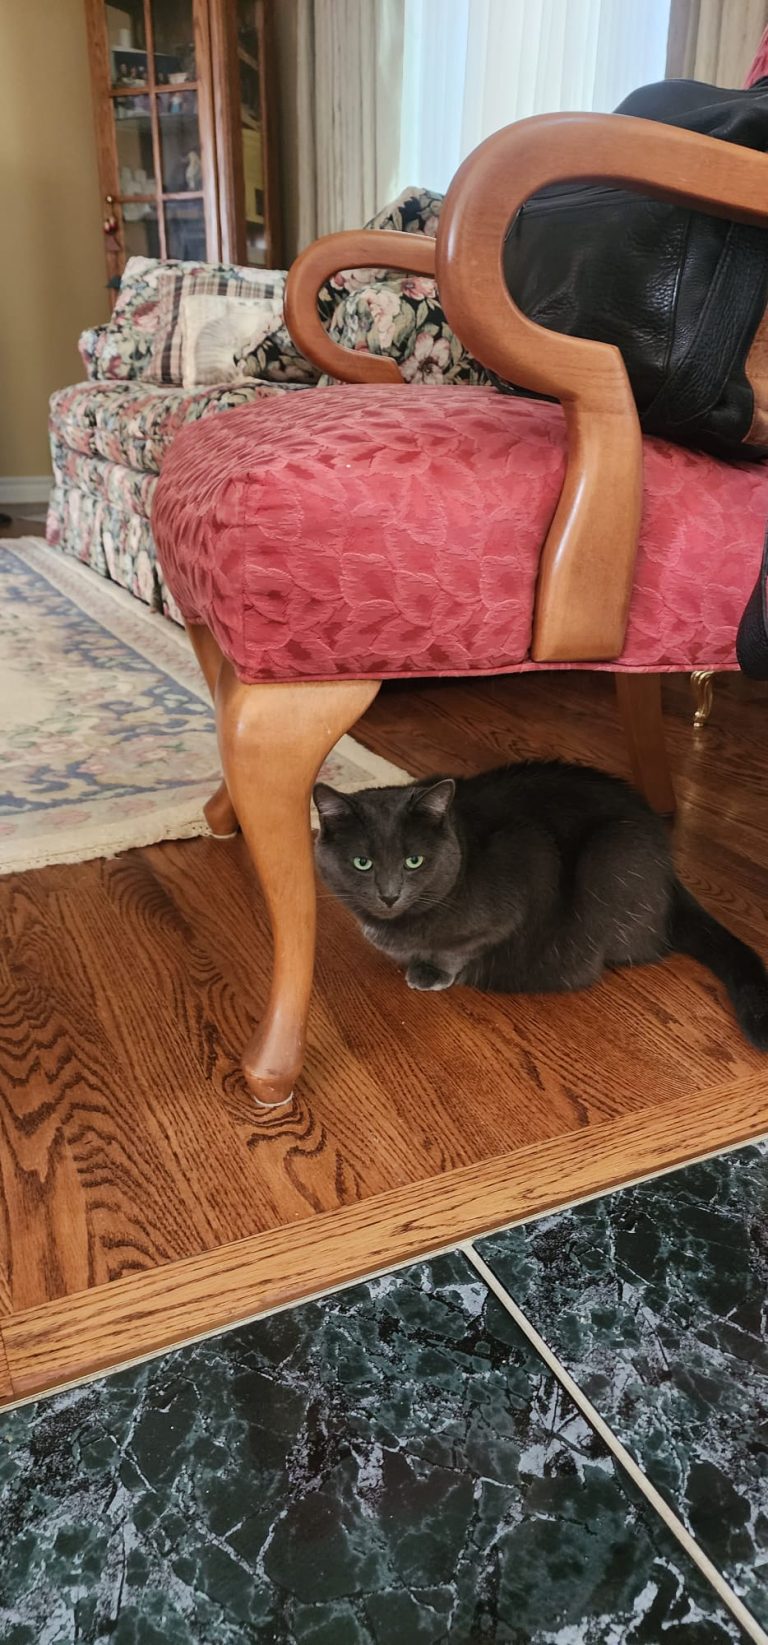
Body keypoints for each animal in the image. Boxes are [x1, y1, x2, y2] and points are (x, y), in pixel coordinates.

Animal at [313, 760, 768, 1048]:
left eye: (414, 861)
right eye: (362, 863)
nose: (389, 894)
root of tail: (671, 870)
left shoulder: (524, 866)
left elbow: (459, 947)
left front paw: (431, 972)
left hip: (612, 855)